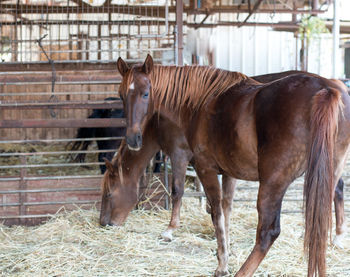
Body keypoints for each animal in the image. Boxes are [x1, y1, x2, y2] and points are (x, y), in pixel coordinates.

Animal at [116, 54, 350, 276]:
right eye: (121, 95)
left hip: (273, 183)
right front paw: (226, 252)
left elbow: (216, 213)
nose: (133, 139)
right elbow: (227, 210)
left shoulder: (204, 168)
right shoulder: (230, 172)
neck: (201, 101)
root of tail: (327, 89)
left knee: (267, 233)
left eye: (146, 93)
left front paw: (222, 264)